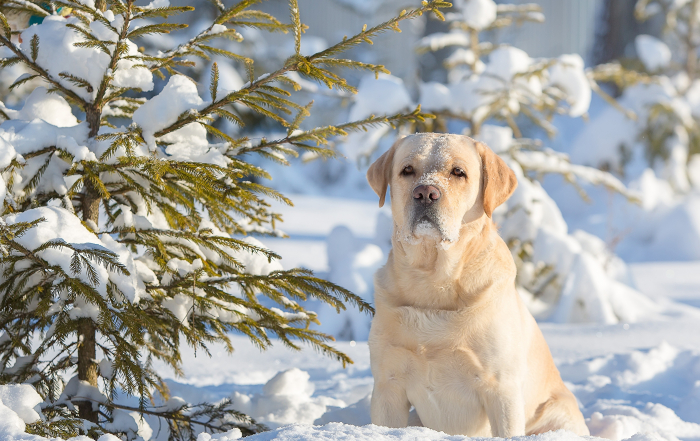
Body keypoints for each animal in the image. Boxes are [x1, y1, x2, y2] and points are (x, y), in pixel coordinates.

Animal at [366, 132, 592, 434]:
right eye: (407, 170)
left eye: (458, 172)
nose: (425, 193)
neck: (434, 281)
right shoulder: (387, 385)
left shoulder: (501, 388)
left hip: (556, 416)